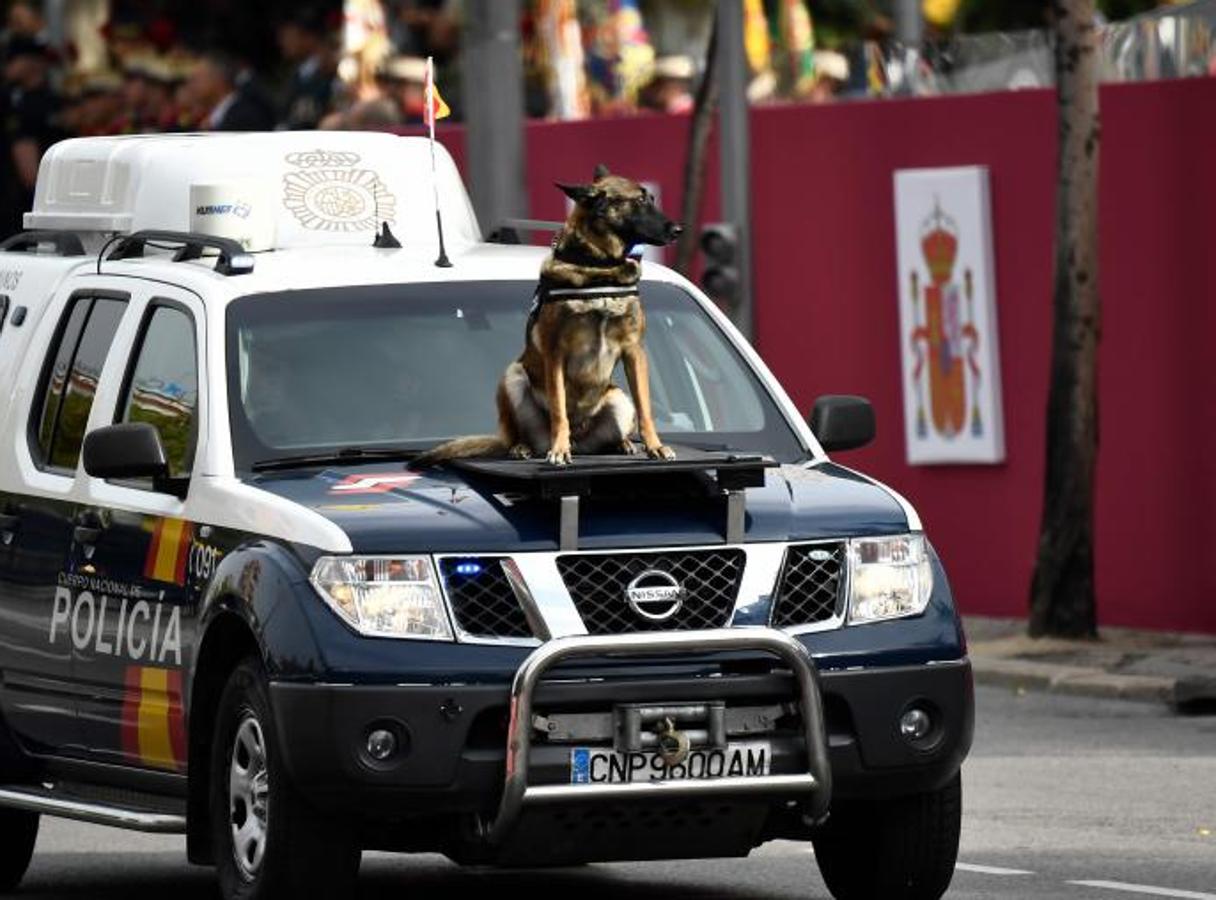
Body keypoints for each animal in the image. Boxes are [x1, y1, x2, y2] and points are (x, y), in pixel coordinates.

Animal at [418, 162, 685, 467]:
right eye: (639, 201)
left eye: (651, 198)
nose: (679, 229)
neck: (599, 266)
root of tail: (581, 442)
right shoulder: (555, 353)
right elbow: (559, 410)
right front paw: (558, 449)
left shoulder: (634, 351)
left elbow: (646, 408)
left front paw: (655, 446)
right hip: (513, 376)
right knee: (519, 434)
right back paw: (523, 447)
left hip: (618, 397)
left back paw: (623, 443)